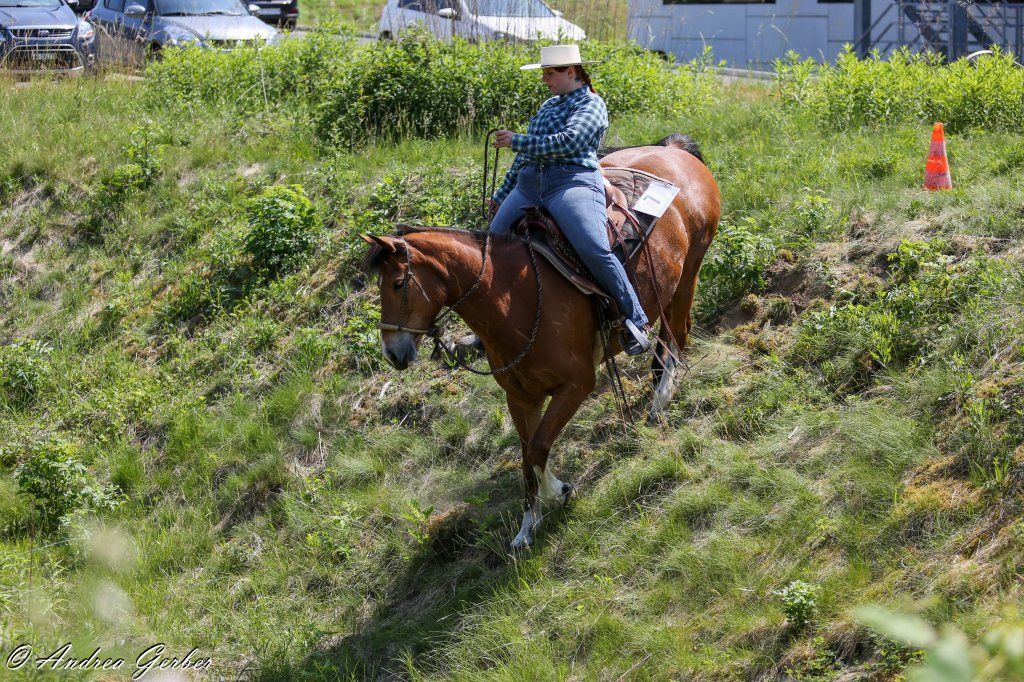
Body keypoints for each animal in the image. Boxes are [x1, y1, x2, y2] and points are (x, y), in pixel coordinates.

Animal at [361, 134, 721, 549]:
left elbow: (537, 448)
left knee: (677, 332)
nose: (392, 352)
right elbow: (526, 456)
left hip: (688, 273)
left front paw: (559, 492)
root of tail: (675, 151)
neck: (517, 299)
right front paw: (527, 527)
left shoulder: (577, 385)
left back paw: (660, 400)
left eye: (397, 284)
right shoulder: (520, 397)